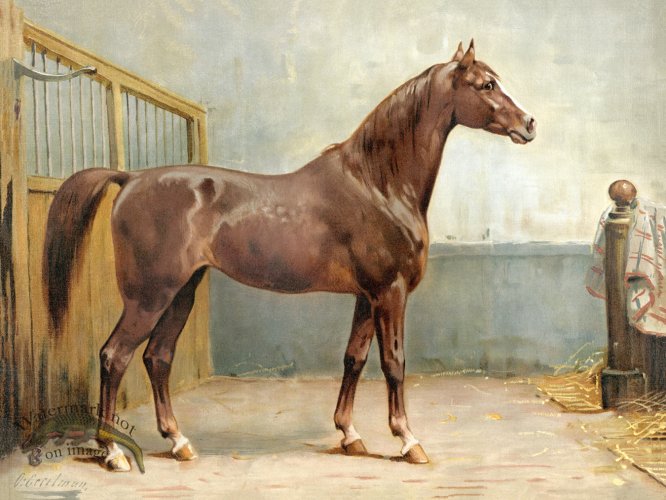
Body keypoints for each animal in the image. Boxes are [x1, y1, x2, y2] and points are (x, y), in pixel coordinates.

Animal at [43, 40, 536, 471]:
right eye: (486, 84)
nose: (529, 124)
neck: (378, 185)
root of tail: (129, 179)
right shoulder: (389, 293)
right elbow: (394, 363)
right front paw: (409, 440)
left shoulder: (366, 297)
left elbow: (354, 359)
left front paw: (350, 434)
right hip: (149, 296)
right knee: (114, 357)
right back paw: (113, 453)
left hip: (182, 291)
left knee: (157, 358)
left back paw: (179, 441)